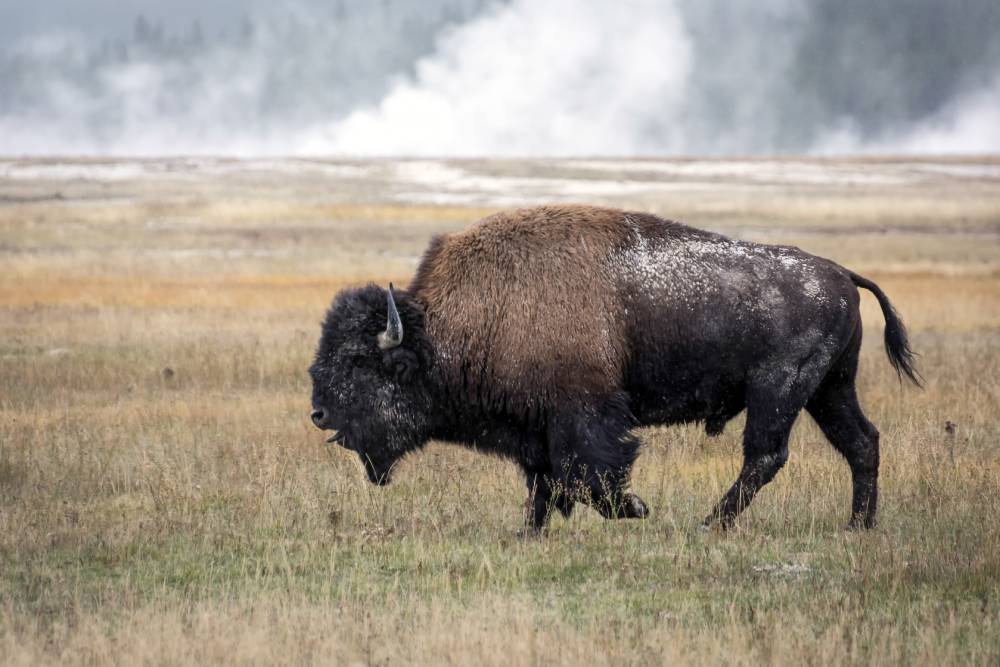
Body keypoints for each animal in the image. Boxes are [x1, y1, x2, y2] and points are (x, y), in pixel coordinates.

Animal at [308, 204, 916, 532]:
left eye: (360, 363)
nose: (318, 414)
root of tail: (840, 274)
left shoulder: (584, 415)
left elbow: (589, 476)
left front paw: (636, 507)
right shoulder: (536, 430)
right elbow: (545, 482)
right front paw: (529, 532)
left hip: (779, 391)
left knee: (766, 455)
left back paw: (709, 524)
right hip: (830, 389)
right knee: (861, 442)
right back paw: (857, 526)